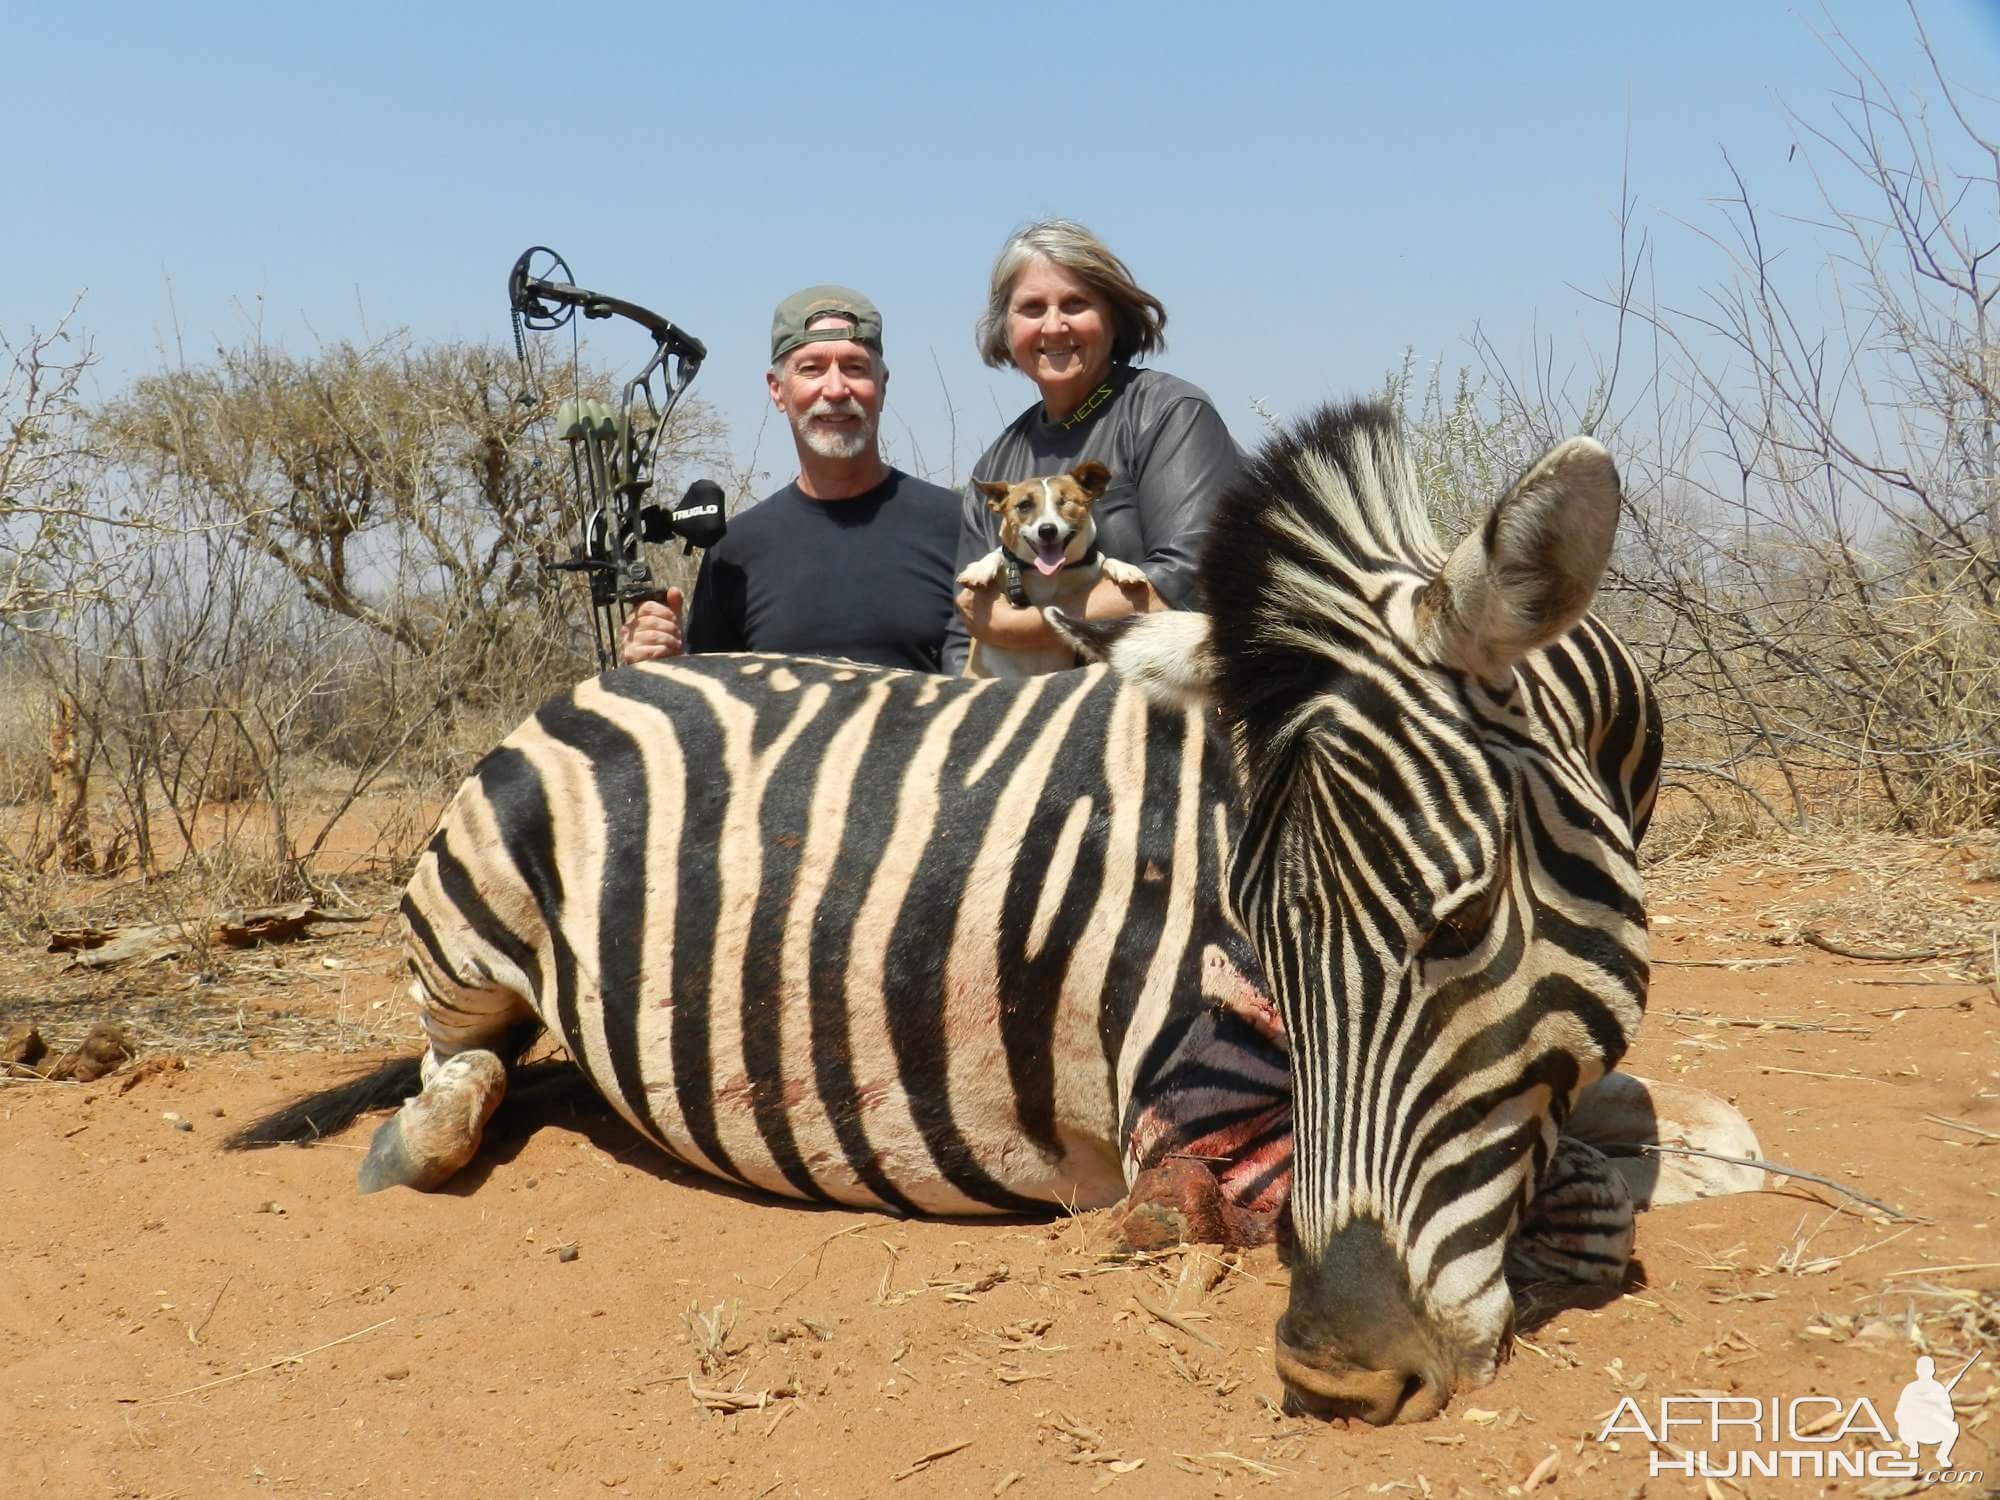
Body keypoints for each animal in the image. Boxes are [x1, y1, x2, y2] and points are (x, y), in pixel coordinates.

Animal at [960, 462, 1152, 680]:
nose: (1047, 530)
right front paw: (979, 569)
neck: (1048, 574)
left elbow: (1105, 560)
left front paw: (1125, 569)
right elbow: (999, 553)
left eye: (1064, 501)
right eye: (1024, 505)